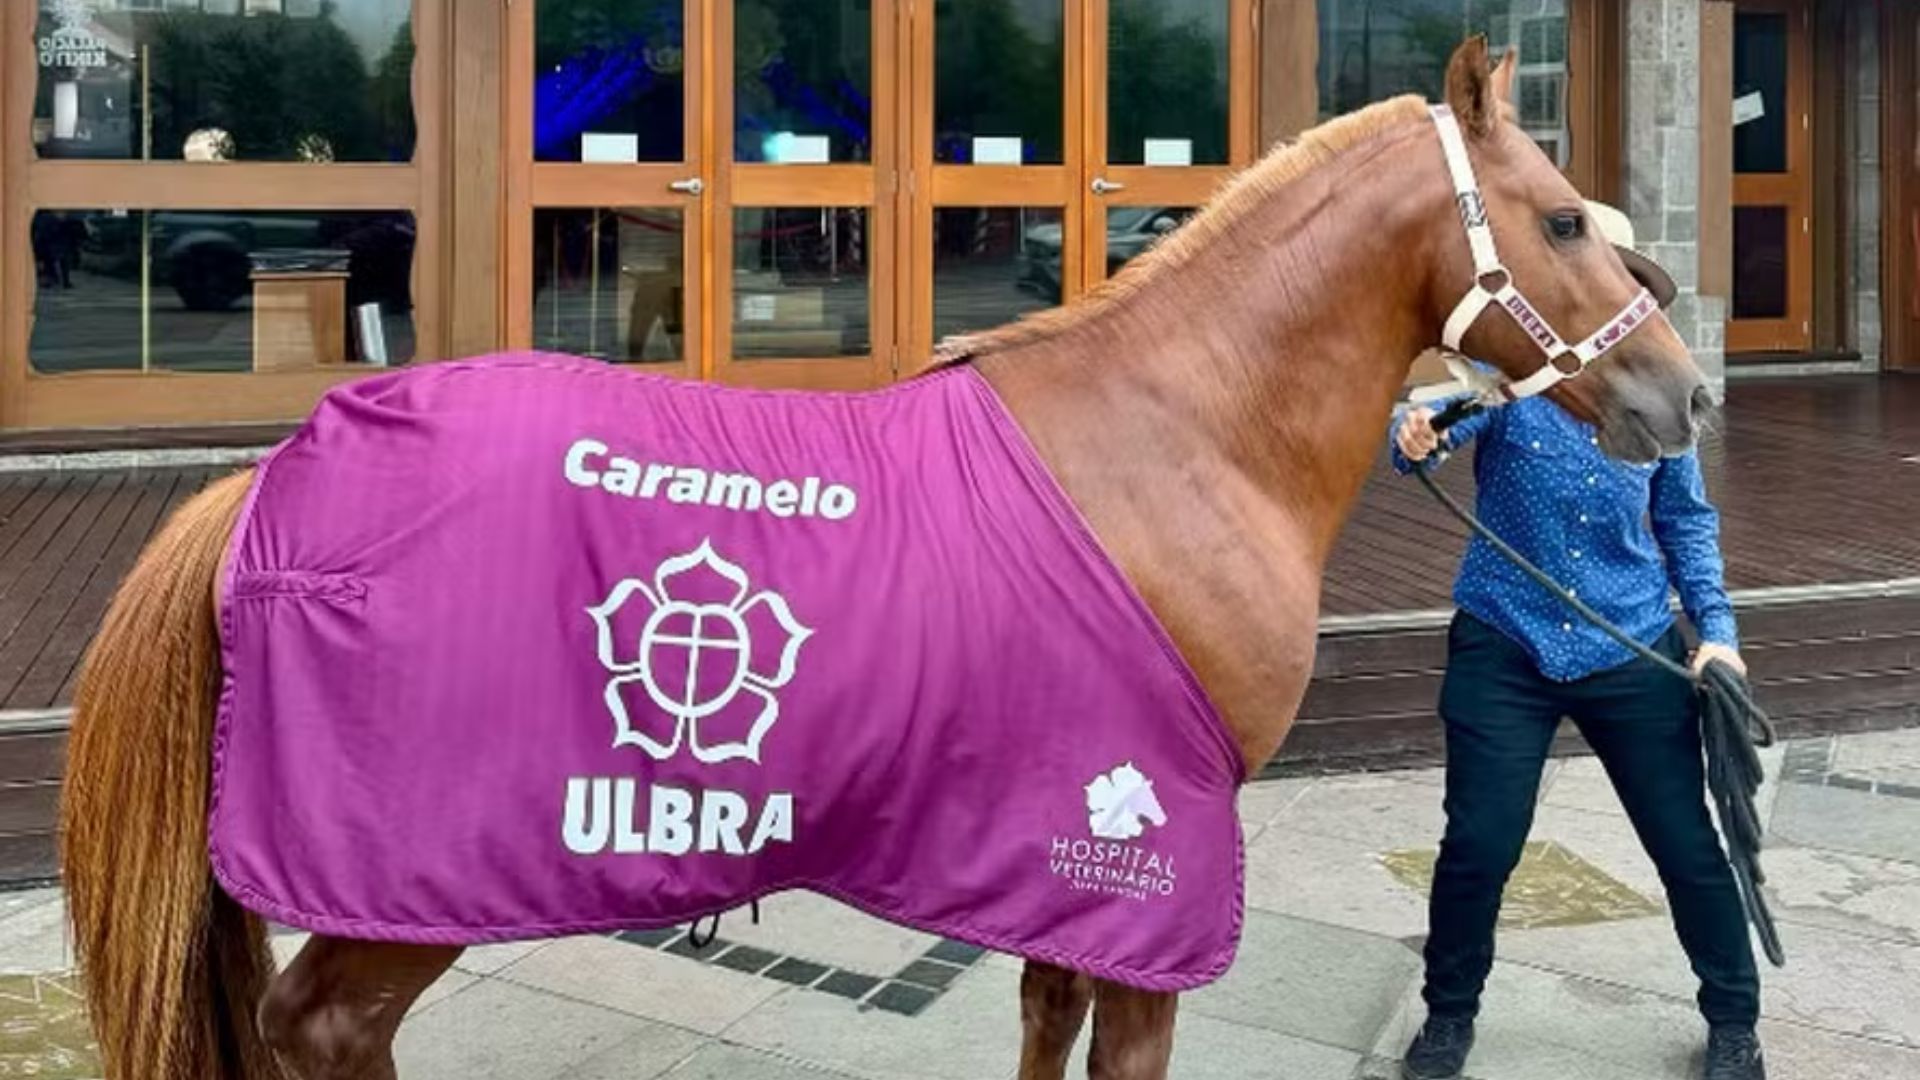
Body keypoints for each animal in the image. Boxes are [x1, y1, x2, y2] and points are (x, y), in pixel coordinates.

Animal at [63, 39, 1712, 1076]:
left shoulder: (1065, 865)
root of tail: (271, 484)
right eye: (1563, 218)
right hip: (411, 887)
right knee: (327, 1034)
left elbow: (1044, 1021)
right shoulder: (1153, 875)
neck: (1177, 433)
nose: (1683, 394)